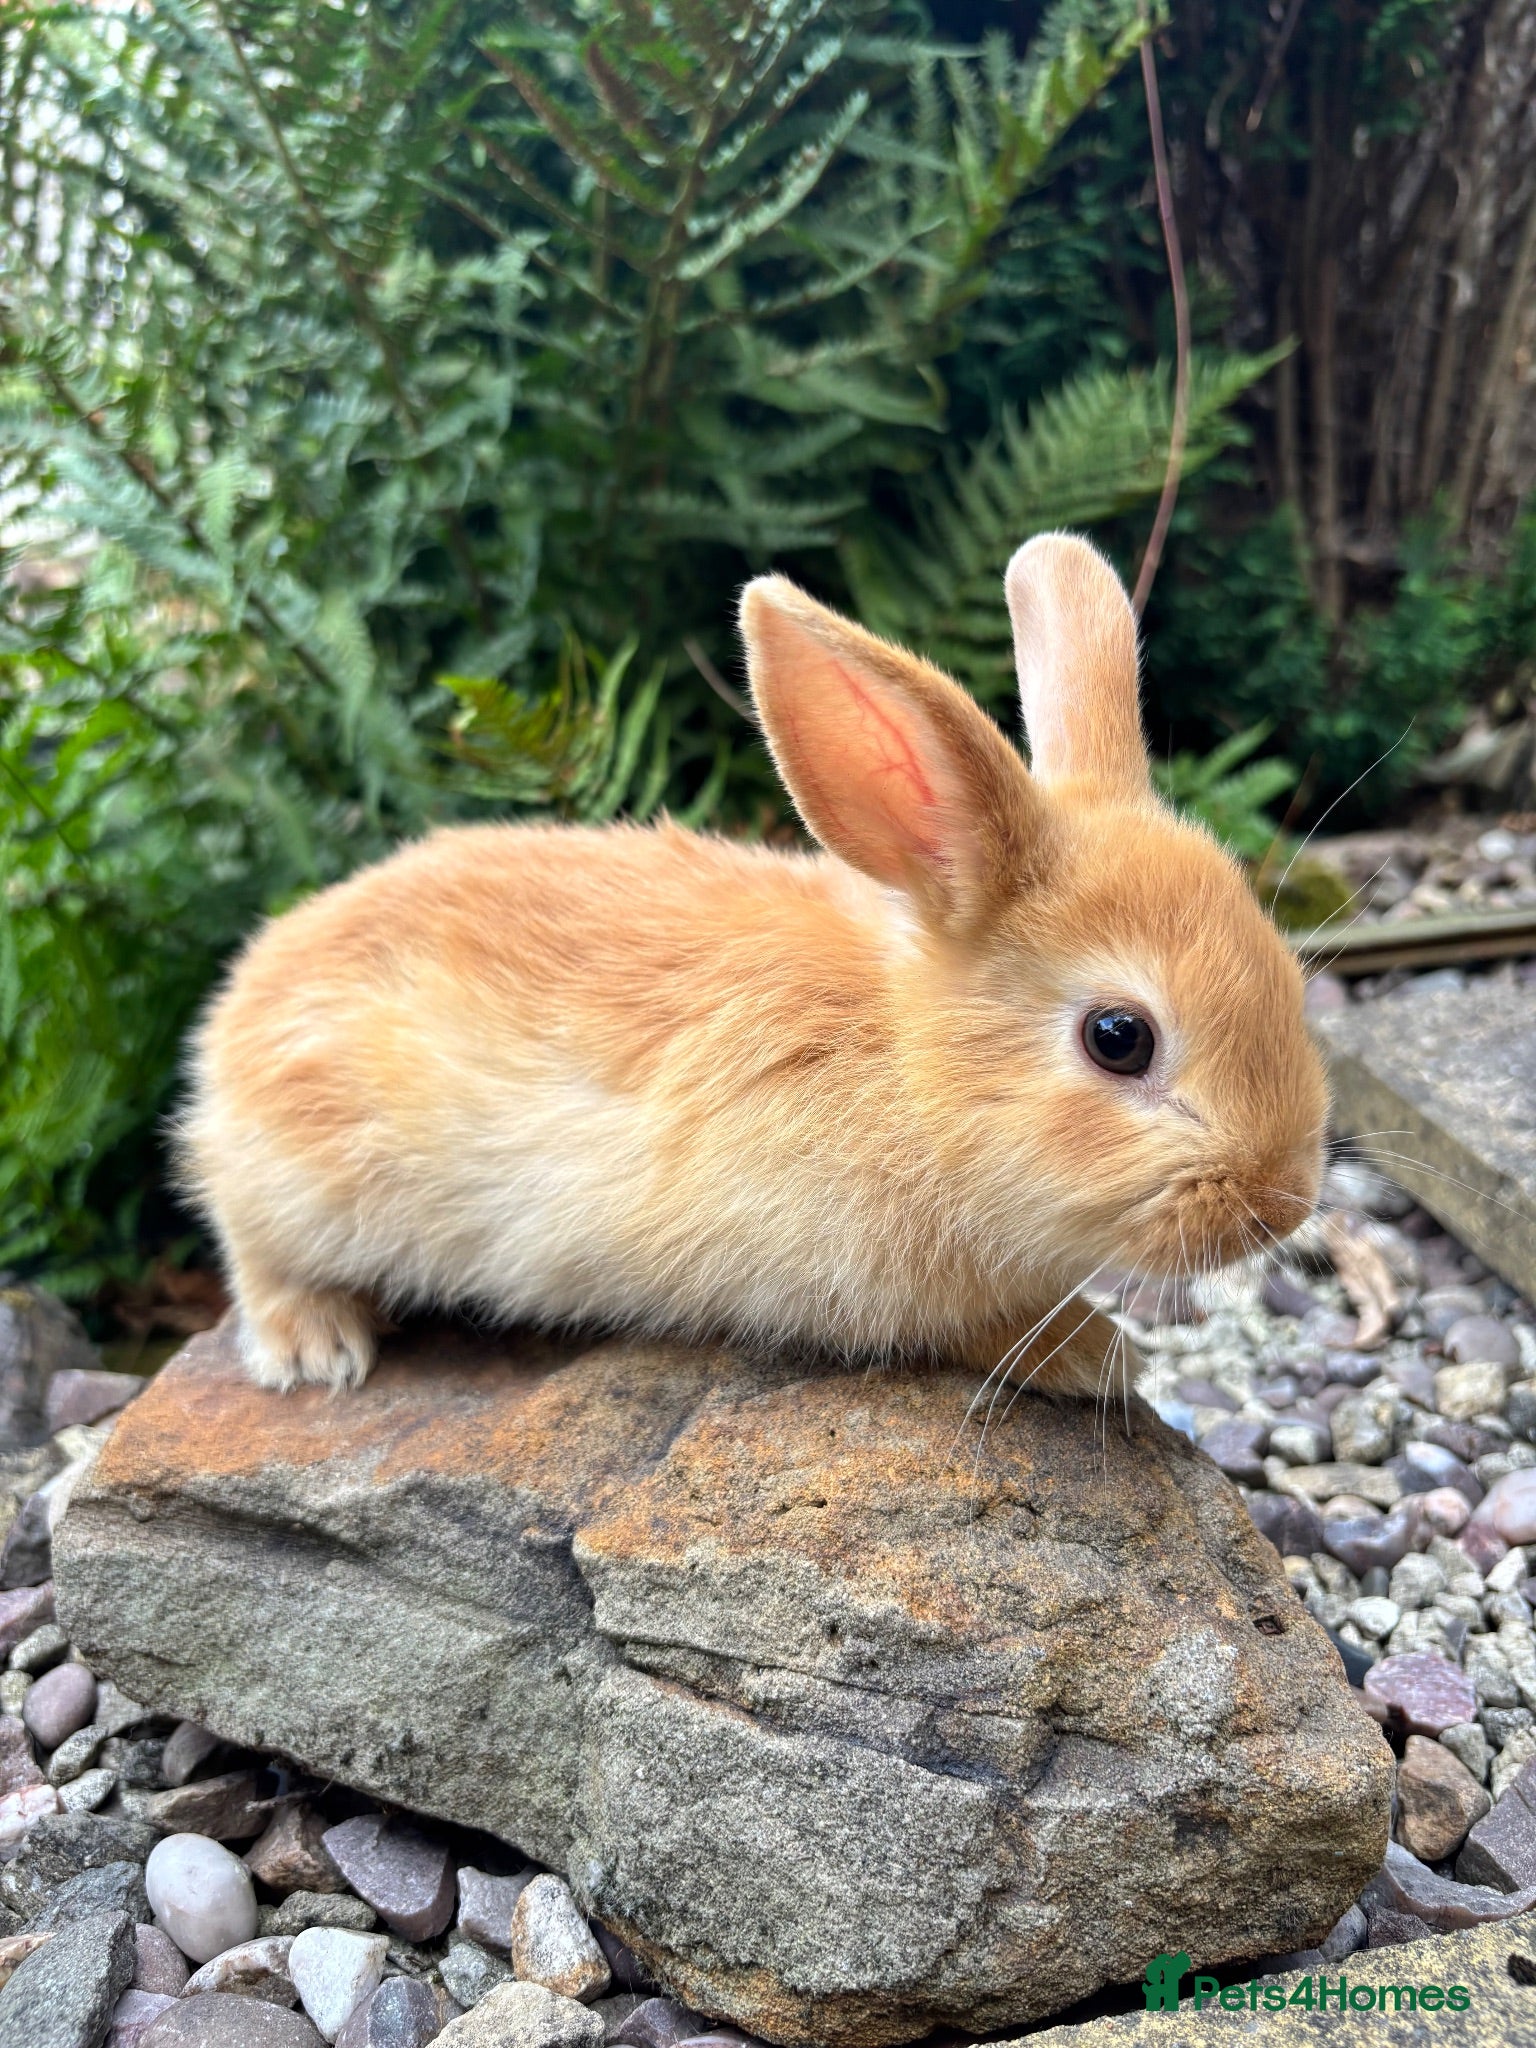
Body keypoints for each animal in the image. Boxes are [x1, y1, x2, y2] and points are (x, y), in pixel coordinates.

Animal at [178, 533, 1328, 1399]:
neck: (913, 1066)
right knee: (249, 1248)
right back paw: (314, 1348)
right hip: (302, 1180)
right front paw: (1096, 1358)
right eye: (1118, 1039)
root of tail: (230, 1028)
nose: (1285, 1203)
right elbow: (983, 1329)